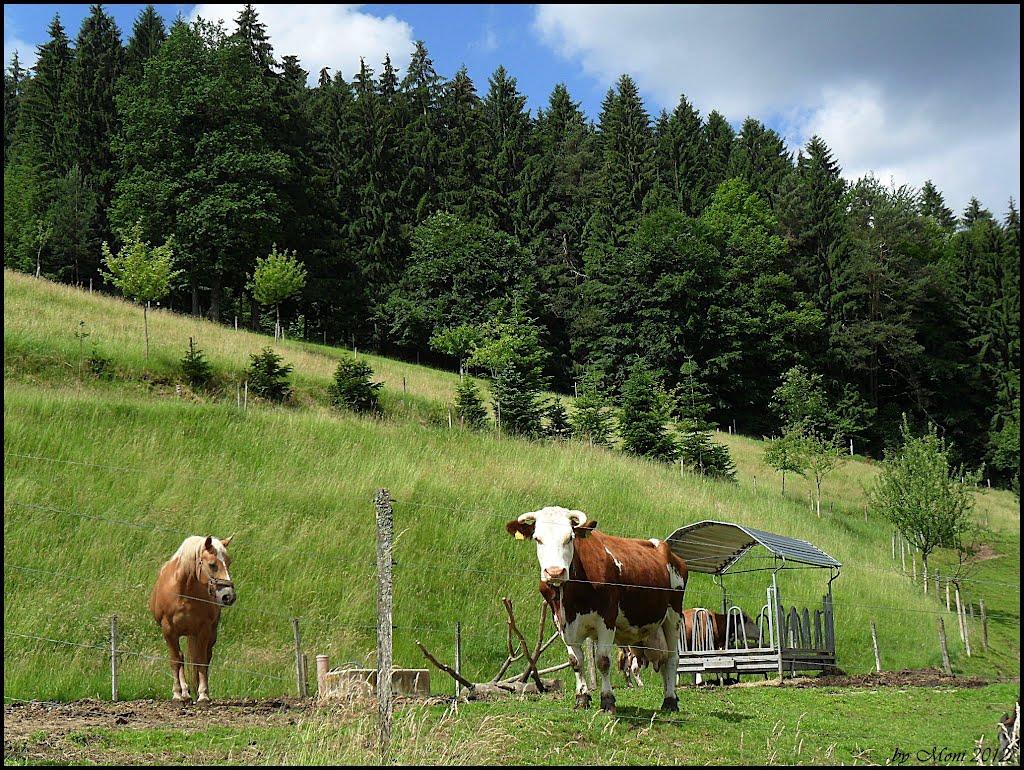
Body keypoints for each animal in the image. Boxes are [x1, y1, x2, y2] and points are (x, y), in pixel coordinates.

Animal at [149, 536, 235, 704]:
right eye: (212, 564)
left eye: (228, 562)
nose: (229, 596)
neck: (184, 591)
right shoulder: (168, 629)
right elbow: (176, 659)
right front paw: (178, 693)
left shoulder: (204, 629)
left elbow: (200, 660)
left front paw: (203, 694)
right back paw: (185, 693)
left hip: (208, 634)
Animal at [505, 505, 688, 716]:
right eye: (538, 539)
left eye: (570, 538)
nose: (554, 572)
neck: (573, 595)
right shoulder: (562, 622)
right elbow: (576, 661)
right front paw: (582, 698)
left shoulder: (607, 620)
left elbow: (602, 661)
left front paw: (607, 700)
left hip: (673, 616)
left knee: (672, 659)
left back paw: (670, 700)